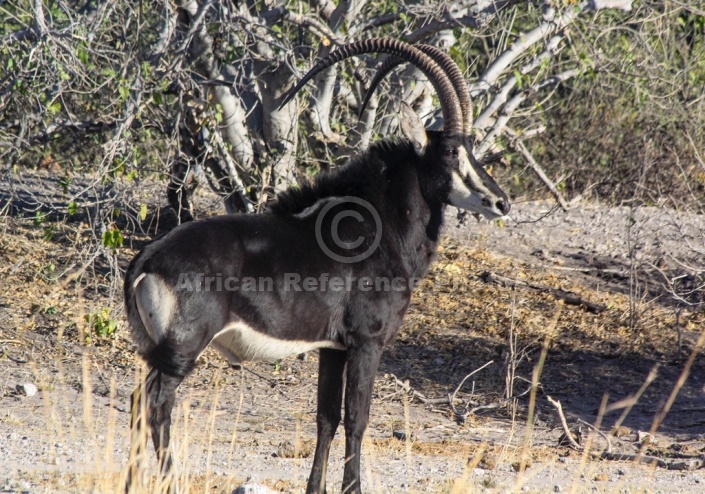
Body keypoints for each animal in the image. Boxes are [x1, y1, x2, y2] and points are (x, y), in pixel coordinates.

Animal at [121, 38, 506, 494]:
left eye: (472, 148)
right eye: (448, 152)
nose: (500, 201)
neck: (379, 221)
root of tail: (148, 259)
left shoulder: (332, 347)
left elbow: (327, 417)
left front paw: (316, 487)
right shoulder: (367, 342)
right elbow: (357, 419)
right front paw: (353, 488)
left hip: (159, 352)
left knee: (143, 404)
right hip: (182, 350)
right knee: (154, 404)